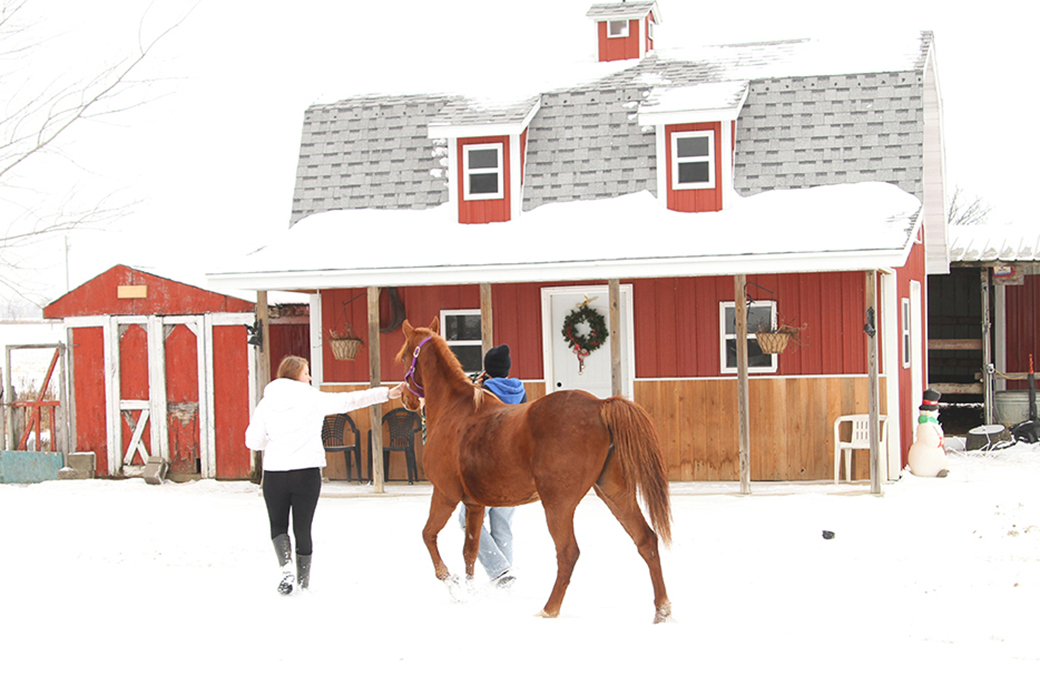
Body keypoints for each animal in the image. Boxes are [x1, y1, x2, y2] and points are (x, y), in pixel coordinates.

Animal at [397, 318, 673, 620]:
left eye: (404, 356)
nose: (406, 398)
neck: (455, 410)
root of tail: (600, 405)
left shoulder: (445, 494)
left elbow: (428, 535)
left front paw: (453, 584)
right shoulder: (474, 504)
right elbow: (470, 550)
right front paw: (469, 592)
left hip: (558, 503)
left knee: (568, 552)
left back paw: (549, 609)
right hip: (615, 492)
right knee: (646, 540)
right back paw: (662, 610)